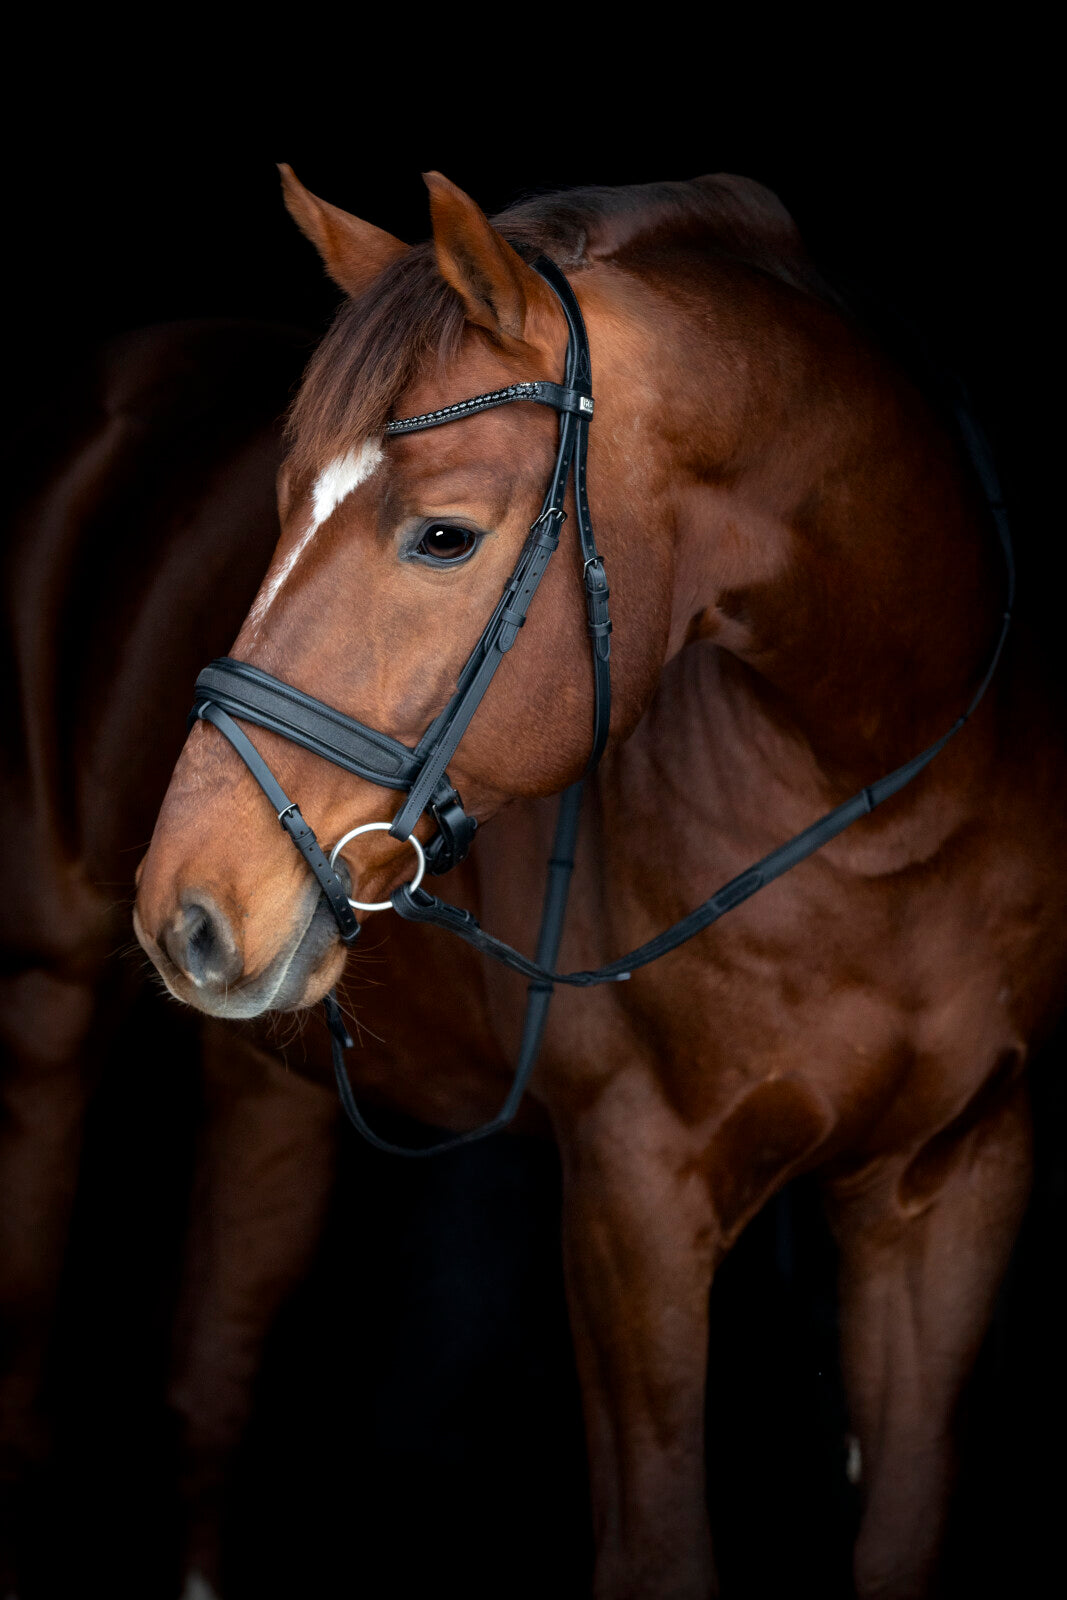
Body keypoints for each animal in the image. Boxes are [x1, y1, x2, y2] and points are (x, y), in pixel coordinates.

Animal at [133, 166, 1067, 1598]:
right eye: (284, 503)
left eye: (443, 535)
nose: (182, 906)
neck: (878, 808)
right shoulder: (634, 1200)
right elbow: (659, 1552)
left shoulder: (957, 1179)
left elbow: (900, 1534)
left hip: (263, 1084)